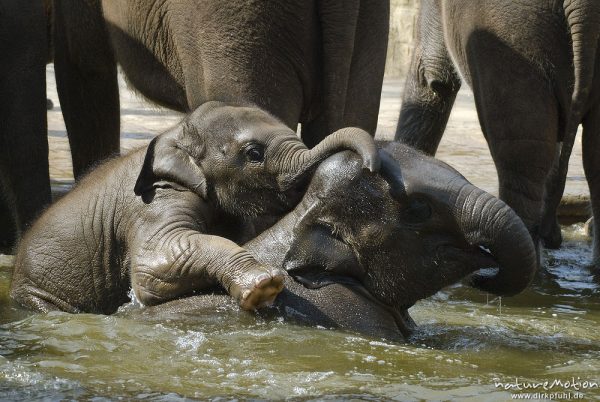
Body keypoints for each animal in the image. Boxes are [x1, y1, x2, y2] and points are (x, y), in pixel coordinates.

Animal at [9, 101, 378, 314]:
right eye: (254, 153)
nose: (371, 165)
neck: (174, 132)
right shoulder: (156, 200)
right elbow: (153, 267)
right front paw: (264, 287)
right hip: (38, 295)